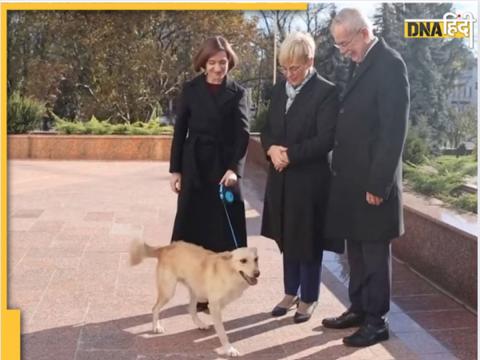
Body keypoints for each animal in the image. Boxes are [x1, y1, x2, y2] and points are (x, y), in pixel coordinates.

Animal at [129, 240, 260, 356]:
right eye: (243, 261)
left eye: (256, 259)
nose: (257, 273)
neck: (229, 272)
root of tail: (166, 247)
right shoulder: (214, 307)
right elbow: (222, 333)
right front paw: (229, 349)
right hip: (168, 292)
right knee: (155, 308)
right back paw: (156, 327)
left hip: (194, 290)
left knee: (191, 309)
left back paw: (200, 324)